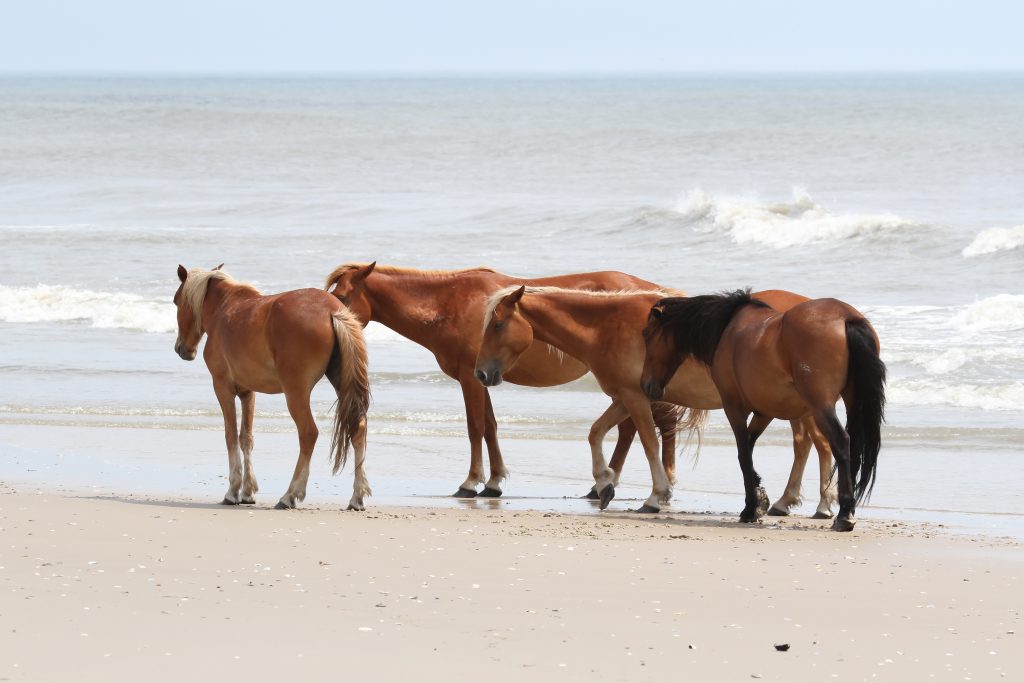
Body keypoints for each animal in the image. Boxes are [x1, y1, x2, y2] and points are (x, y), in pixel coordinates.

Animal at [173, 264, 372, 511]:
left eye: (176, 301)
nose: (181, 349)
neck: (223, 310)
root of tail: (332, 311)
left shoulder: (222, 387)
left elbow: (231, 436)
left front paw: (233, 491)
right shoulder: (248, 392)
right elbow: (246, 438)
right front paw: (247, 492)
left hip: (295, 393)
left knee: (308, 433)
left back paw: (290, 495)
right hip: (341, 383)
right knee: (358, 429)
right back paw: (357, 497)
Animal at [324, 262, 687, 498]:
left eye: (343, 297)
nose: (333, 321)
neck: (450, 304)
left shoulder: (470, 379)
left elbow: (475, 428)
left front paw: (471, 482)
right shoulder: (482, 377)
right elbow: (491, 427)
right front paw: (494, 482)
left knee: (651, 426)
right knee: (631, 429)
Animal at [475, 286, 837, 516]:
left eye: (498, 324)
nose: (480, 373)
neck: (606, 326)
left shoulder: (636, 398)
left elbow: (649, 443)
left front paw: (655, 496)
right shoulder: (624, 398)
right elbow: (595, 432)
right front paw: (604, 483)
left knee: (819, 445)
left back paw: (821, 505)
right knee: (808, 445)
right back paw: (788, 502)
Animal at [640, 290, 885, 531]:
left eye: (646, 334)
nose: (646, 385)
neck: (727, 328)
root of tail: (846, 318)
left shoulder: (734, 408)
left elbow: (743, 454)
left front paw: (750, 508)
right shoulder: (765, 411)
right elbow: (749, 447)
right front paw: (760, 498)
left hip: (820, 406)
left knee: (841, 442)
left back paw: (844, 515)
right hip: (851, 401)